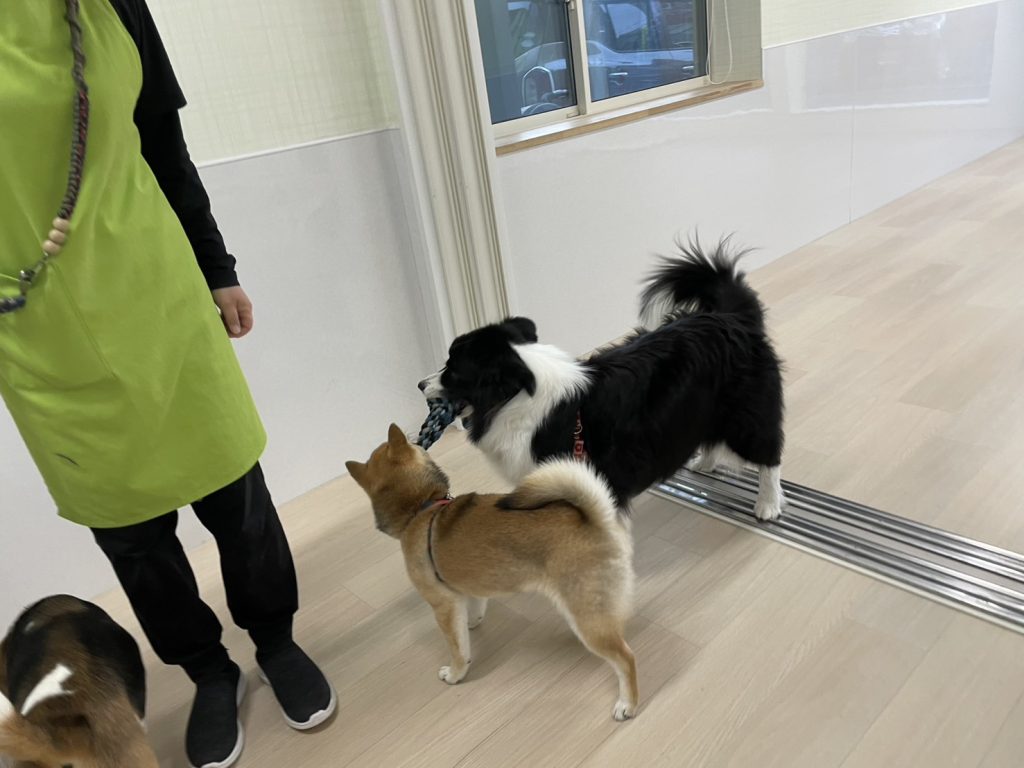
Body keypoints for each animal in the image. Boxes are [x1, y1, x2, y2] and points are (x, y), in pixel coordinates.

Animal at [346, 424, 639, 720]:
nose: (420, 438)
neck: (421, 508)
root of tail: (598, 520)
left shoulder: (442, 605)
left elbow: (457, 649)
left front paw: (455, 674)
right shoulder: (467, 588)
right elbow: (473, 610)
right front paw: (471, 622)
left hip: (589, 616)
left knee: (626, 658)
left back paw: (627, 704)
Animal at [419, 239, 786, 520]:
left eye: (452, 369)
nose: (420, 384)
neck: (518, 395)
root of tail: (730, 316)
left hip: (746, 412)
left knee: (769, 452)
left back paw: (768, 505)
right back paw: (704, 464)